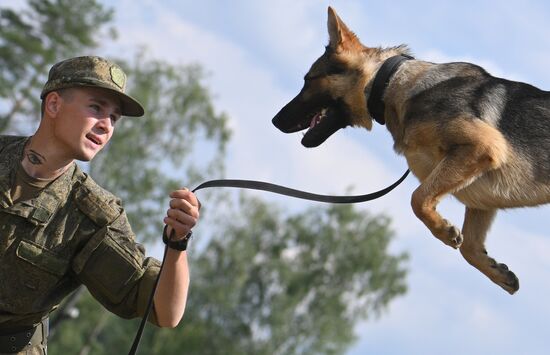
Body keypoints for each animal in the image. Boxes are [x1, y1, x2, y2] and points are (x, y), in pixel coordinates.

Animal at [272, 6, 550, 294]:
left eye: (308, 80)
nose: (274, 120)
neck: (388, 84)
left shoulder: (482, 147)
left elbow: (418, 200)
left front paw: (444, 231)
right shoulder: (480, 198)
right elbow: (470, 248)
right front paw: (496, 271)